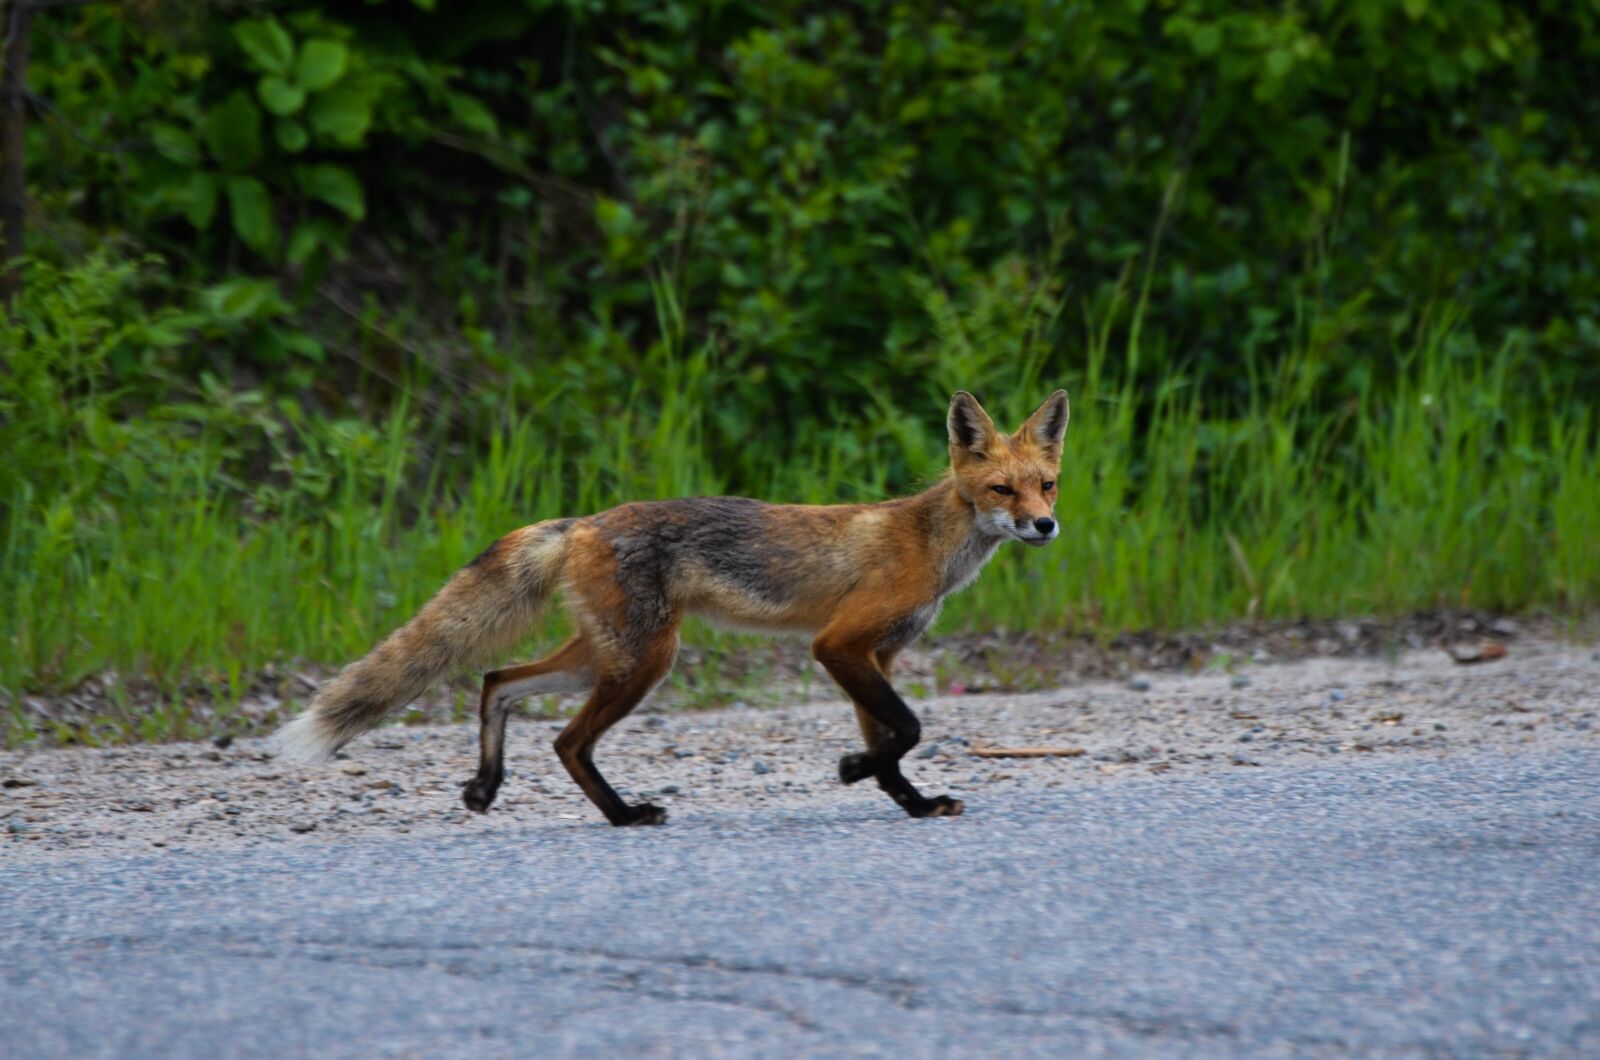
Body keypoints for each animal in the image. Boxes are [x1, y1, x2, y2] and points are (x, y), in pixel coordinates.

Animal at [274, 389, 1069, 826]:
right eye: (1002, 490)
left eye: (1048, 484)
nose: (1045, 526)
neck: (932, 544)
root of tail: (582, 521)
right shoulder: (841, 645)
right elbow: (904, 730)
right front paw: (852, 771)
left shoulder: (877, 654)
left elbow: (892, 744)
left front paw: (912, 803)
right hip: (647, 659)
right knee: (566, 741)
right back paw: (625, 816)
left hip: (604, 654)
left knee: (497, 681)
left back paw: (487, 785)